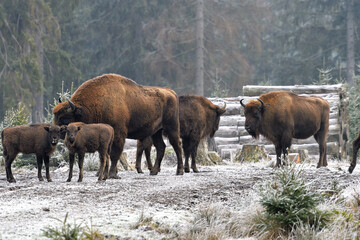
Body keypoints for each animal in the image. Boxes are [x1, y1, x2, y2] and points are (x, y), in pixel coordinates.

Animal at [52, 72, 183, 176]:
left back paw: (179, 171)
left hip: (171, 128)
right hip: (156, 132)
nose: (56, 133)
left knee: (177, 145)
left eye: (65, 118)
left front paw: (111, 174)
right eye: (55, 116)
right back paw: (154, 171)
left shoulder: (118, 134)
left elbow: (114, 154)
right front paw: (104, 173)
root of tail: (171, 92)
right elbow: (106, 155)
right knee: (161, 147)